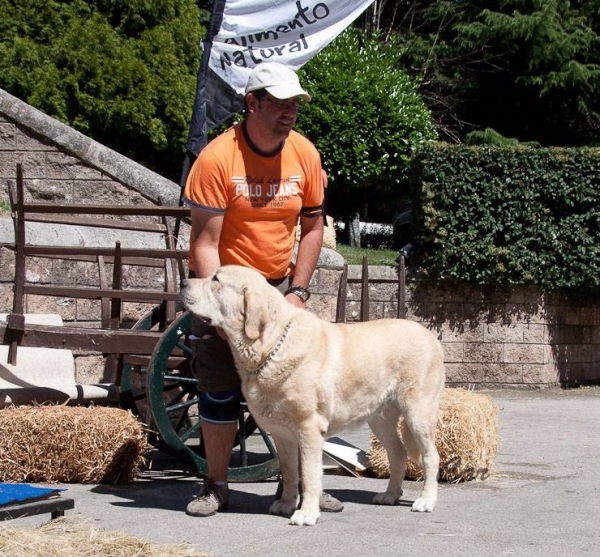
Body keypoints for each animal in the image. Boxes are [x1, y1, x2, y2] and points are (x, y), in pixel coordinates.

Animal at [178, 264, 446, 524]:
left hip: (418, 414)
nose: (182, 283)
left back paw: (426, 501)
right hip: (380, 419)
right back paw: (389, 495)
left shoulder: (308, 428)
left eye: (216, 280)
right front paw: (286, 504)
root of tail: (430, 336)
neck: (271, 346)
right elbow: (290, 472)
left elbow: (308, 474)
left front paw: (306, 513)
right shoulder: (281, 433)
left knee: (431, 457)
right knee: (398, 454)